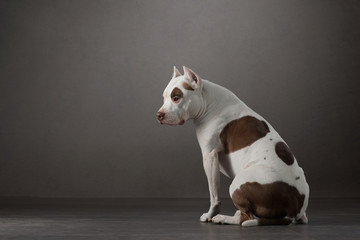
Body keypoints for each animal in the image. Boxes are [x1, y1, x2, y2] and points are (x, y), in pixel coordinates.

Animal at [155, 66, 310, 227]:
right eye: (164, 97)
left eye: (176, 98)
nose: (159, 115)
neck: (208, 101)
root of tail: (294, 208)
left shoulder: (209, 156)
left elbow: (214, 194)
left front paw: (210, 214)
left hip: (238, 183)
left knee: (246, 217)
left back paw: (223, 218)